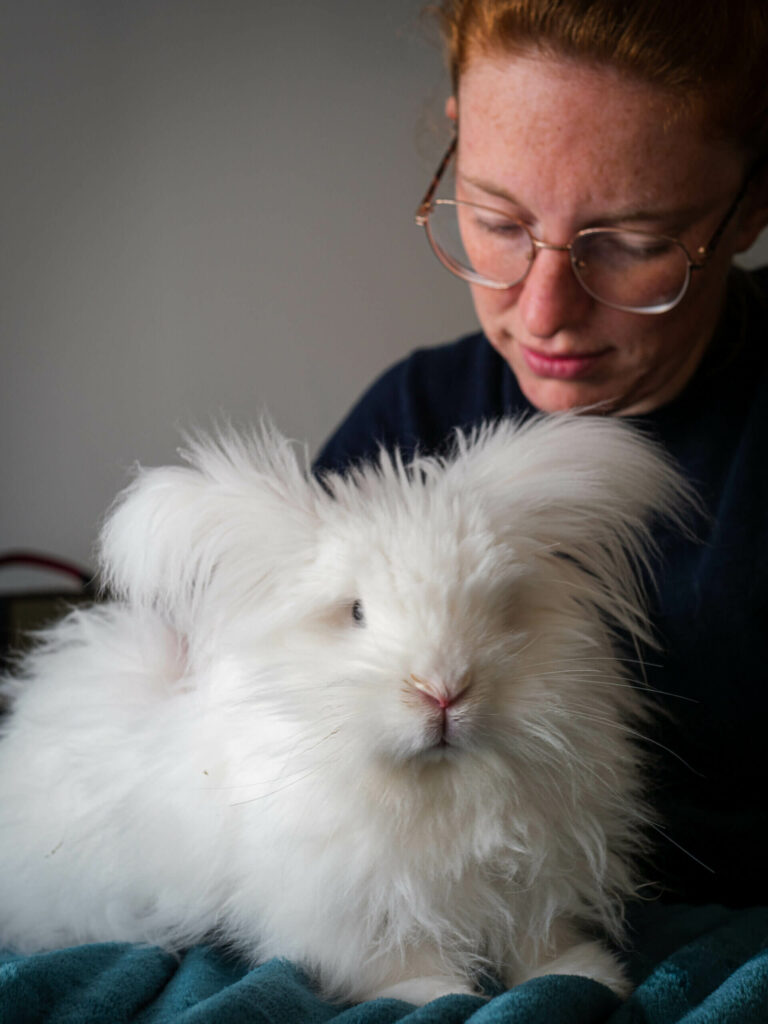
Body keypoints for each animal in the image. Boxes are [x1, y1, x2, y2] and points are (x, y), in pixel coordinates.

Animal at [0, 411, 692, 1003]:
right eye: (356, 612)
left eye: (503, 607)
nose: (444, 689)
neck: (438, 792)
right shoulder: (349, 904)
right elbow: (394, 957)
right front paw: (434, 991)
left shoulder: (534, 878)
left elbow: (537, 942)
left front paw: (582, 973)